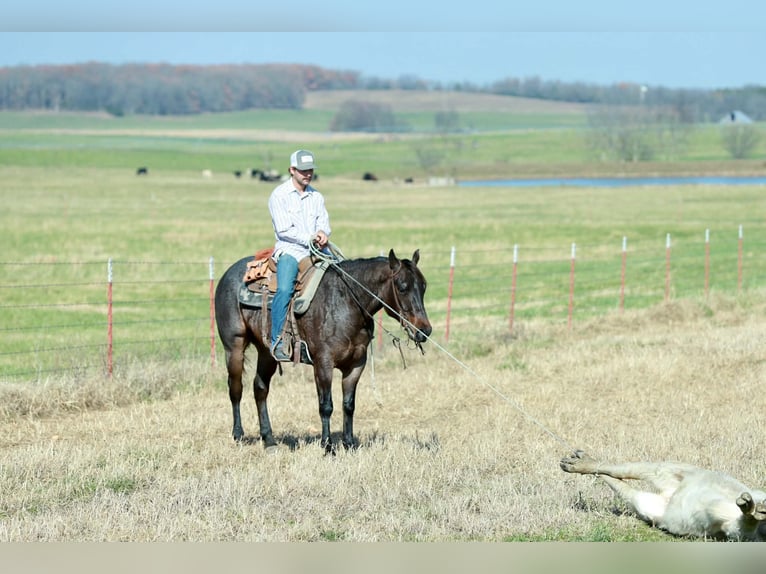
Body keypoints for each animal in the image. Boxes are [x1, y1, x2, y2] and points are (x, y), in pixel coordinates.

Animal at [214, 249, 432, 452]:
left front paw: (349, 444)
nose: (424, 331)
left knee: (260, 388)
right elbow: (326, 406)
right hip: (234, 348)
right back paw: (238, 434)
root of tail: (228, 274)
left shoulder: (356, 364)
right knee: (235, 388)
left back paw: (269, 440)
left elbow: (348, 405)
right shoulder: (324, 363)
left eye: (424, 286)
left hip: (266, 352)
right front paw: (328, 447)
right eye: (402, 287)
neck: (346, 302)